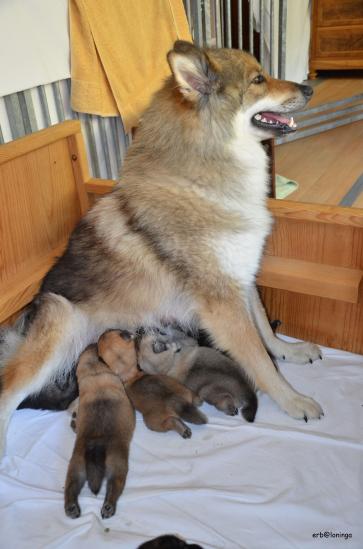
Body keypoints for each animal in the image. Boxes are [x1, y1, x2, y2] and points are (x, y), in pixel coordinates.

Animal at [0, 40, 324, 456]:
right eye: (258, 80)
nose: (309, 88)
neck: (204, 172)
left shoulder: (241, 278)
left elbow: (265, 328)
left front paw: (289, 351)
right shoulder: (221, 302)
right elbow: (259, 360)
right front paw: (293, 400)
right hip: (58, 330)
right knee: (8, 393)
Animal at [64, 342, 135, 520]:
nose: (93, 343)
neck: (94, 371)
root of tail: (96, 447)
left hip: (76, 467)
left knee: (70, 488)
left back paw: (71, 508)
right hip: (118, 466)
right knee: (113, 488)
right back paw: (108, 507)